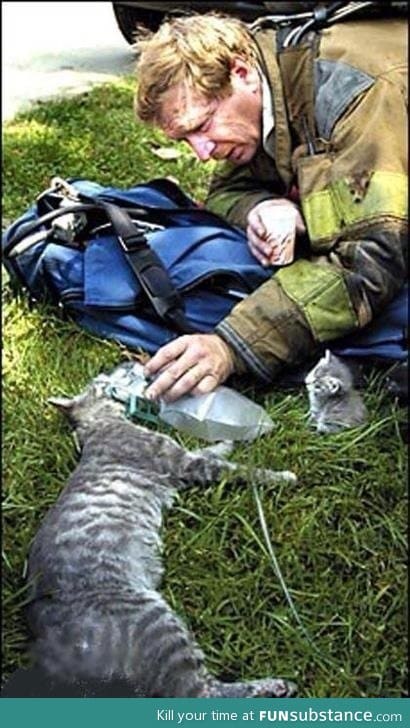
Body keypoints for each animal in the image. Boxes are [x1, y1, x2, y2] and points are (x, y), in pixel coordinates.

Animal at [27, 378, 298, 696]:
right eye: (99, 384)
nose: (107, 379)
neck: (99, 424)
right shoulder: (184, 463)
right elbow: (242, 470)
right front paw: (282, 475)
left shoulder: (187, 459)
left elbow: (212, 450)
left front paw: (228, 441)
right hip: (159, 623)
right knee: (205, 691)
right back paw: (276, 685)